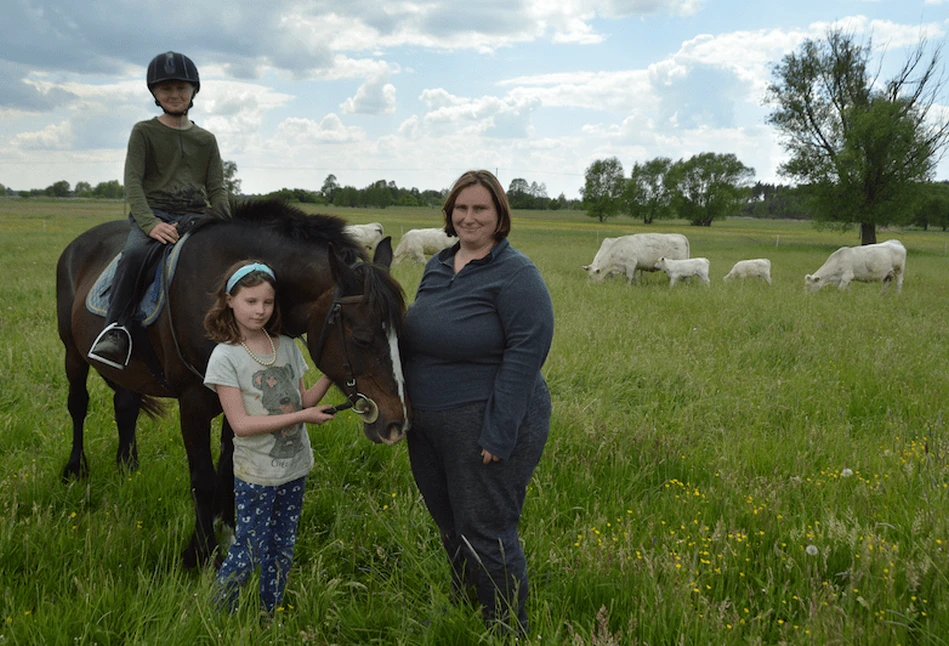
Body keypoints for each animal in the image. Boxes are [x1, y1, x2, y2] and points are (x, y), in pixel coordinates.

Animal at [56, 200, 412, 568]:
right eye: (362, 338)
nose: (396, 425)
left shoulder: (237, 399)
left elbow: (229, 466)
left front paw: (230, 525)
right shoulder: (193, 403)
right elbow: (203, 477)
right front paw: (200, 552)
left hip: (128, 373)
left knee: (125, 407)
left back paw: (128, 468)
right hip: (73, 354)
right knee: (78, 405)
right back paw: (75, 469)